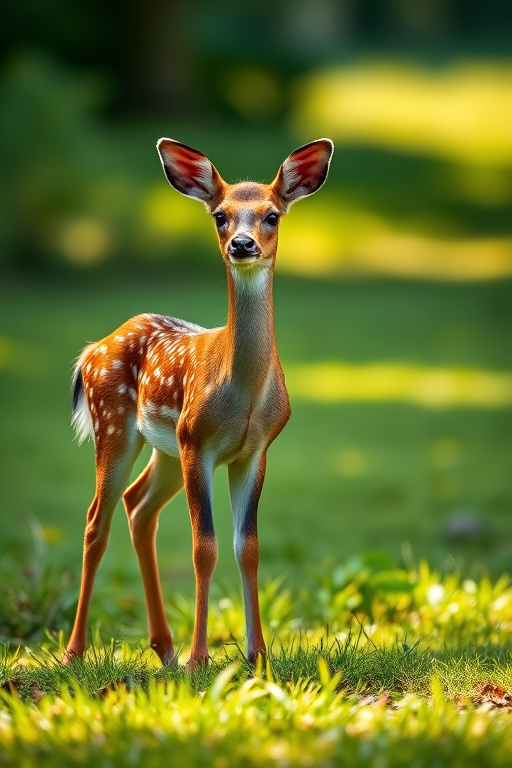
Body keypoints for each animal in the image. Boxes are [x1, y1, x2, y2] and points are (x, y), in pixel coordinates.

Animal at [64, 137, 333, 670]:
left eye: (272, 215)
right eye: (220, 215)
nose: (242, 244)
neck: (243, 397)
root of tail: (93, 350)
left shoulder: (254, 450)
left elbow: (248, 546)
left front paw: (257, 654)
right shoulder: (199, 442)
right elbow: (203, 547)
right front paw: (201, 658)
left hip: (165, 448)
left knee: (138, 506)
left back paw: (163, 648)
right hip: (118, 425)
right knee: (96, 519)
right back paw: (76, 651)